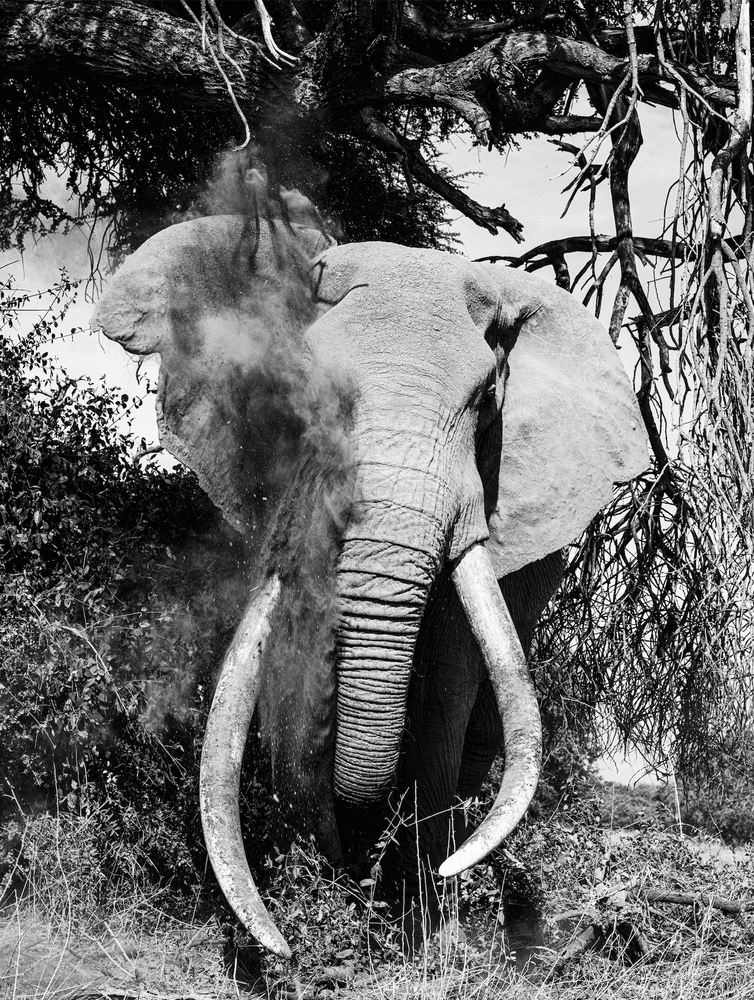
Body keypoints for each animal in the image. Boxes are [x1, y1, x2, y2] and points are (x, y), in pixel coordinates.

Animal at [91, 203, 648, 952]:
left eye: (486, 401)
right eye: (306, 389)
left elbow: (447, 685)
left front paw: (429, 932)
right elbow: (286, 673)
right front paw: (320, 905)